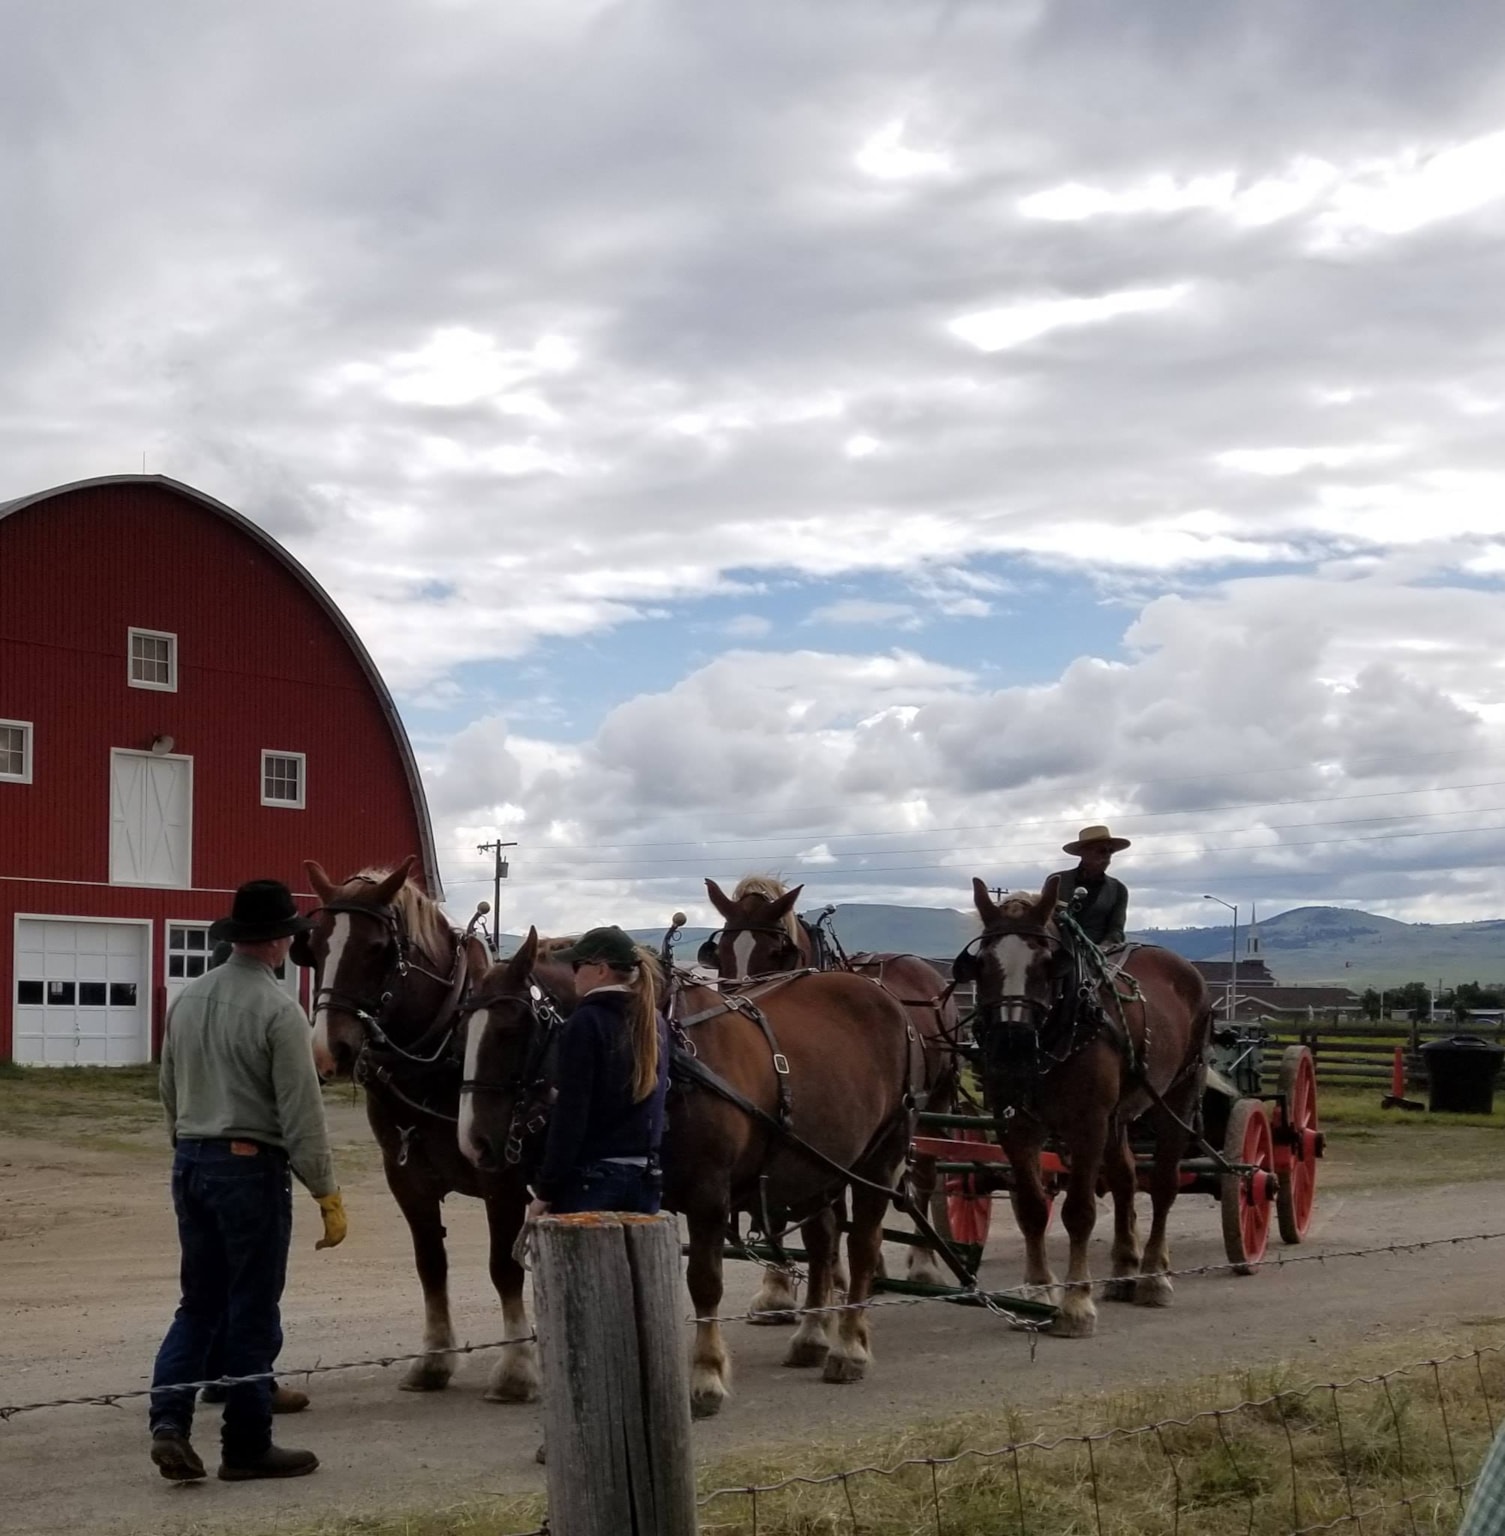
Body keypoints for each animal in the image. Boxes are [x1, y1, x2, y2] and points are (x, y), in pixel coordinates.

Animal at [294, 857, 540, 1404]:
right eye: (314, 946)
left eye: (377, 948)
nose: (328, 1052)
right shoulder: (407, 1179)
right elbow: (431, 1264)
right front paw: (433, 1359)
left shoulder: (504, 1178)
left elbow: (504, 1267)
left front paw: (516, 1369)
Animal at [458, 926, 924, 1419]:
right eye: (461, 1032)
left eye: (510, 1030)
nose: (474, 1142)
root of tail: (886, 997)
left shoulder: (709, 1196)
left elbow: (704, 1283)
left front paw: (706, 1375)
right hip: (815, 1166)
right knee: (823, 1242)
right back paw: (812, 1337)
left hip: (880, 1159)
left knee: (862, 1245)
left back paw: (849, 1346)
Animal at [702, 875, 960, 1304]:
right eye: (720, 955)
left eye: (777, 953)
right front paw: (783, 1287)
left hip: (931, 1103)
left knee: (923, 1176)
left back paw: (923, 1264)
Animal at [953, 876, 1214, 1338]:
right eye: (981, 964)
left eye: (1047, 964)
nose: (1011, 1046)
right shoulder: (1016, 1127)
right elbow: (1032, 1208)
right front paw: (1040, 1292)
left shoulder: (1087, 1124)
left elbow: (1079, 1211)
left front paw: (1076, 1304)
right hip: (1119, 1116)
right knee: (1126, 1178)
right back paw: (1125, 1269)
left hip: (1178, 1096)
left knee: (1163, 1185)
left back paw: (1153, 1276)